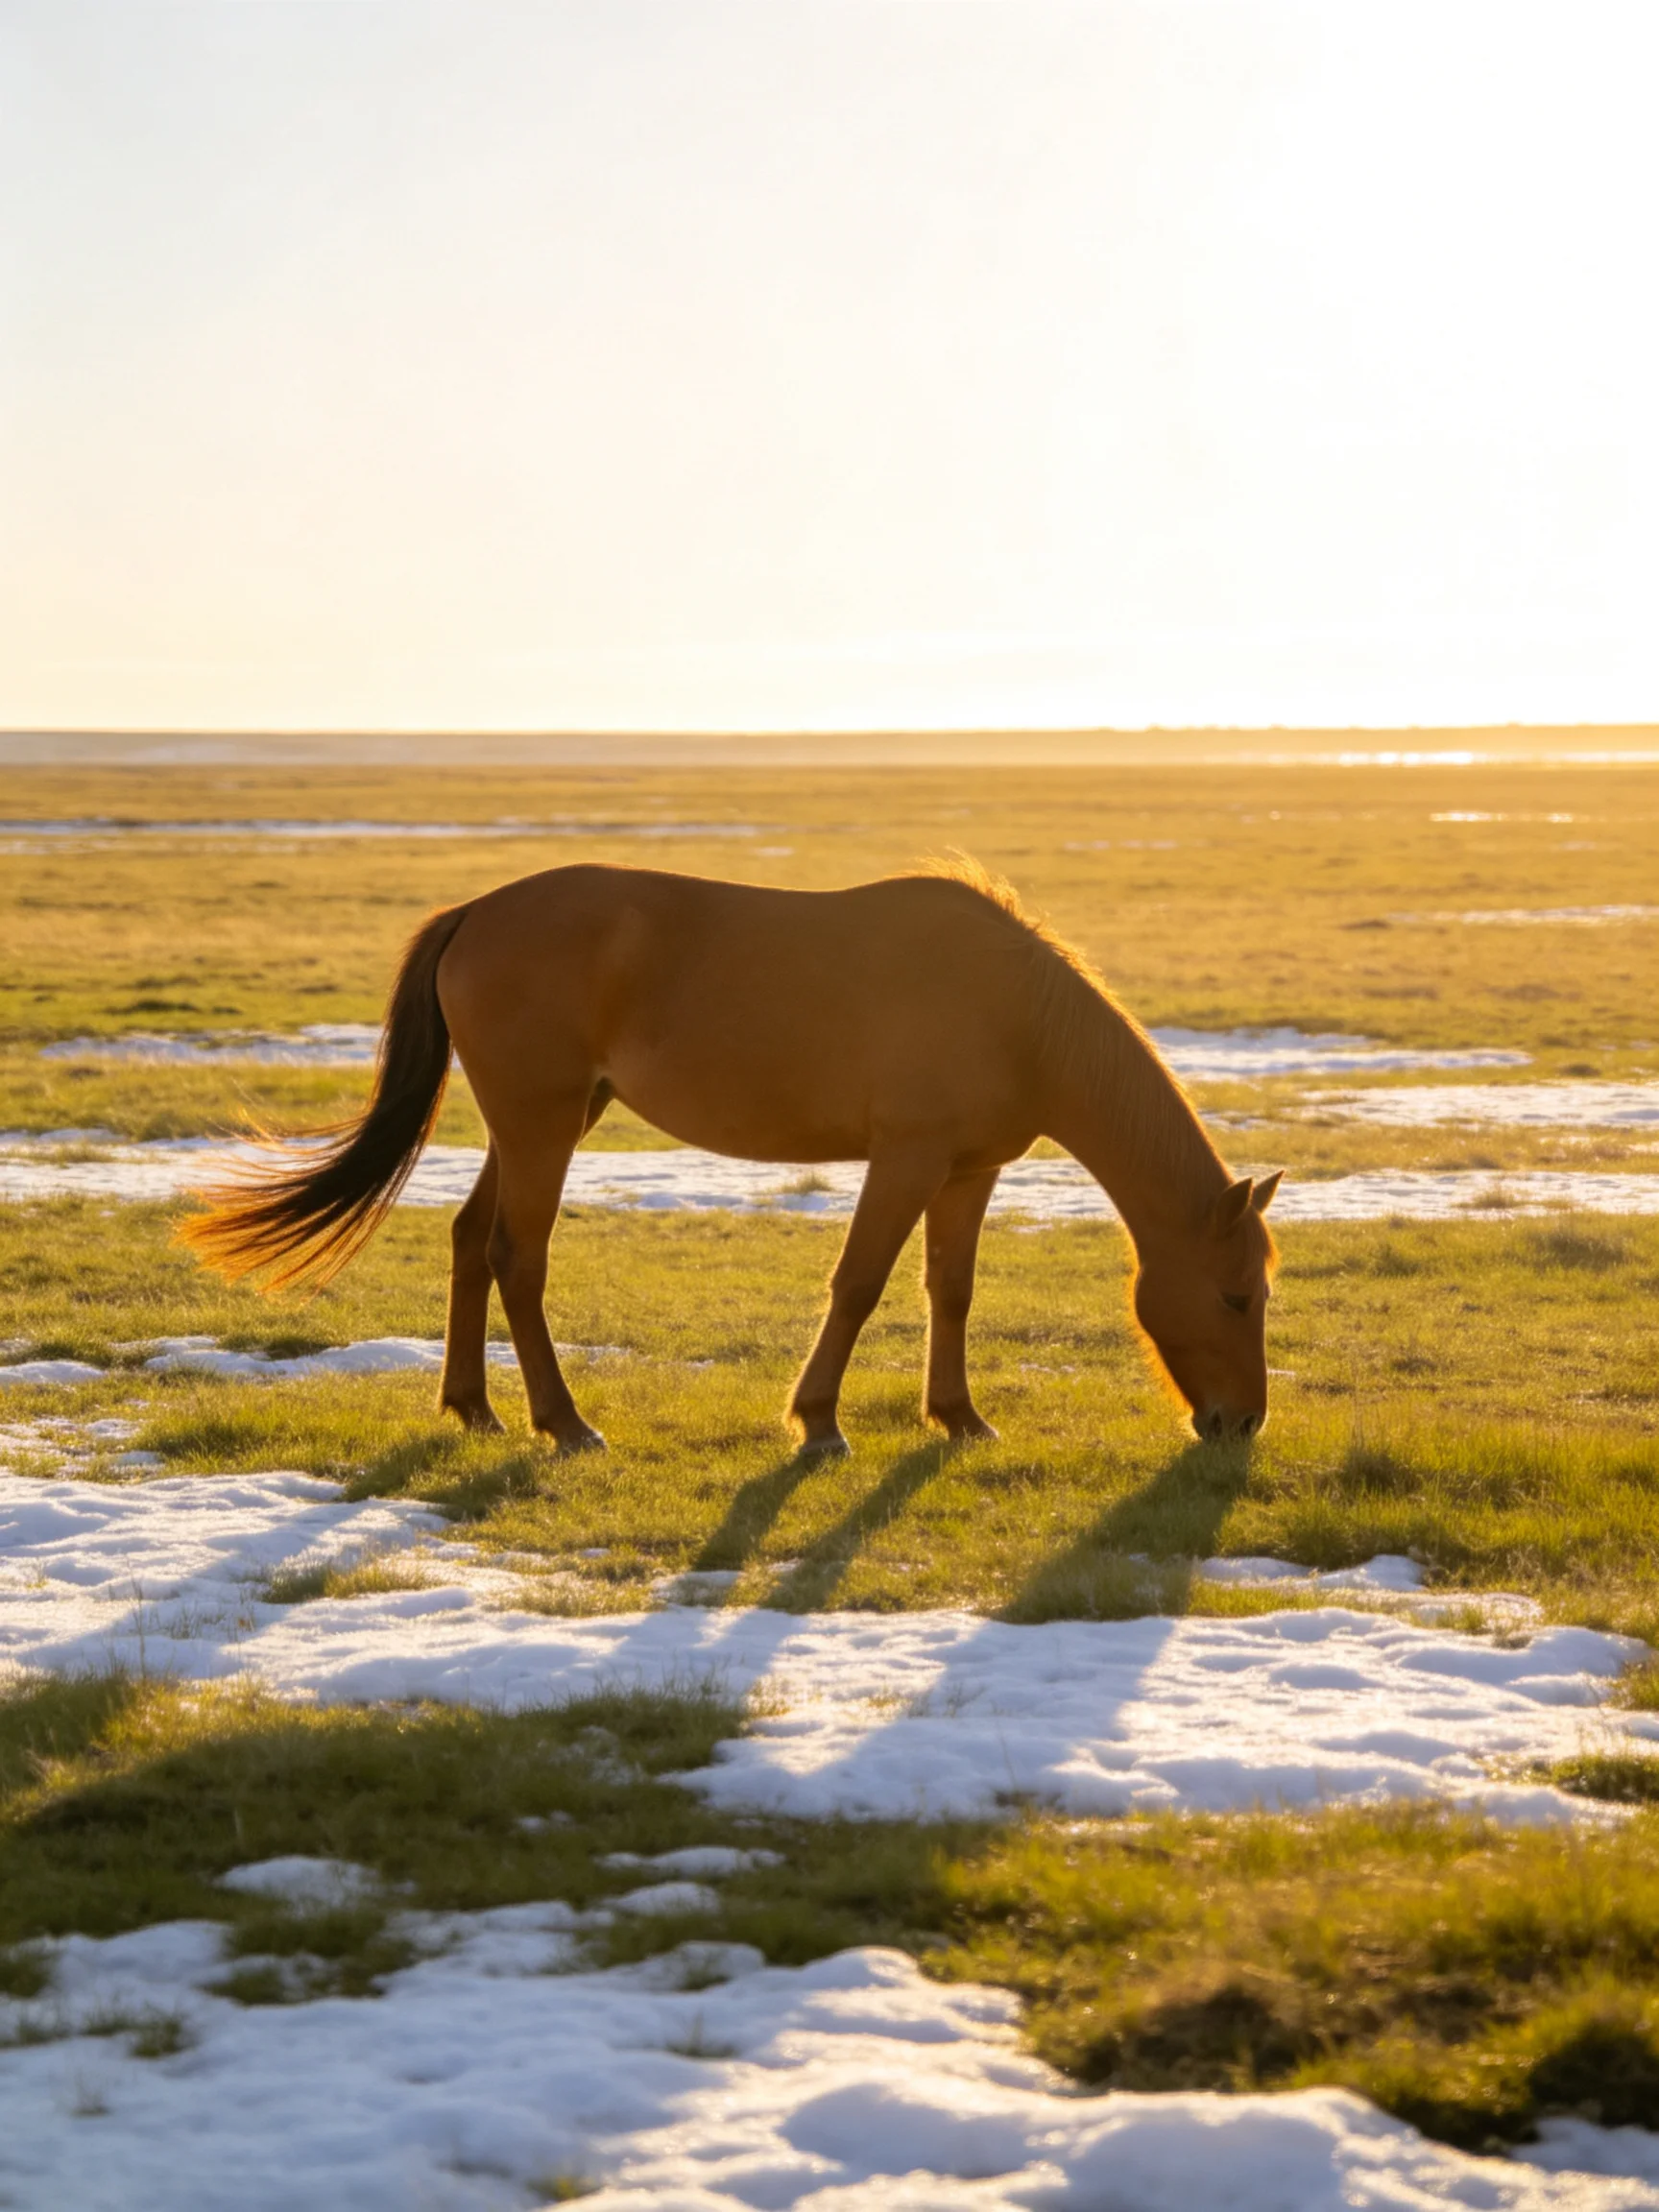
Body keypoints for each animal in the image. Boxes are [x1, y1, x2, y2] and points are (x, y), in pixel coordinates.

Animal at [183, 859, 1281, 1453]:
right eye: (1237, 1296)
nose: (1241, 1423)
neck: (1018, 1015)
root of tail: (476, 913)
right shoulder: (908, 1159)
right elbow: (859, 1283)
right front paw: (819, 1421)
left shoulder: (970, 1171)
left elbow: (950, 1290)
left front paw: (958, 1417)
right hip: (542, 1123)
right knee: (516, 1258)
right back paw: (564, 1423)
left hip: (549, 1119)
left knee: (466, 1241)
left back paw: (474, 1408)